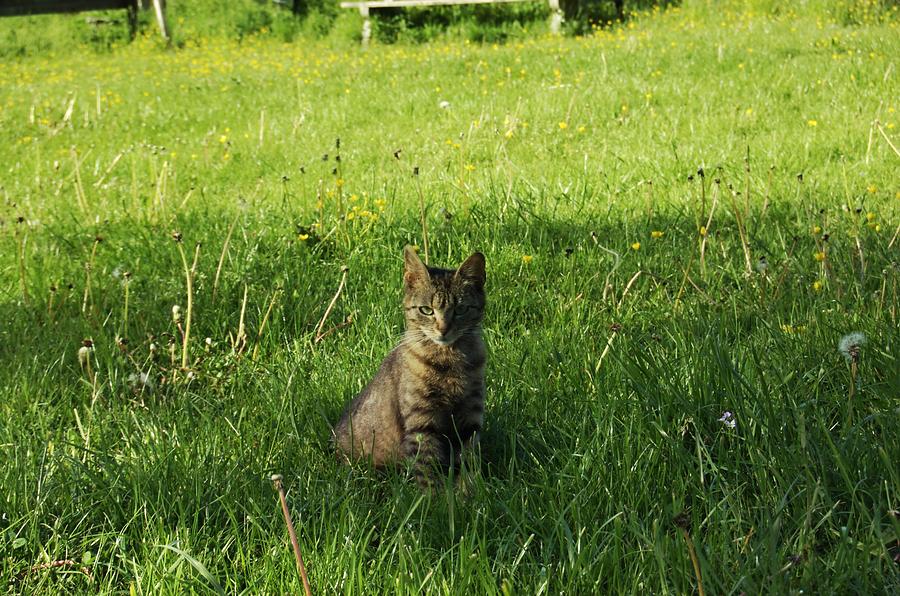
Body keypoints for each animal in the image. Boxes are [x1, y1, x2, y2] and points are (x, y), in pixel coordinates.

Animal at [332, 246, 486, 484]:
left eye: (460, 310)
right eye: (426, 310)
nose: (443, 329)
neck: (449, 360)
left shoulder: (471, 414)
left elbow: (468, 463)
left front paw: (469, 489)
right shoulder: (422, 421)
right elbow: (427, 467)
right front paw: (433, 494)